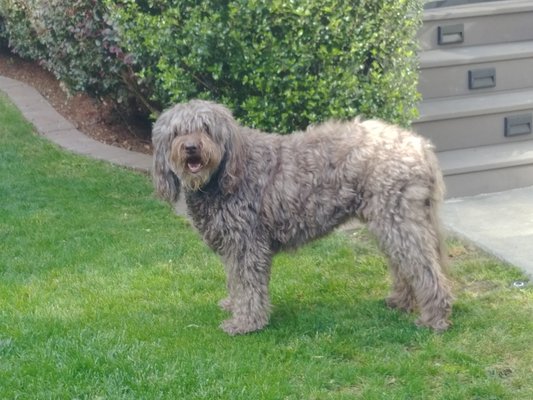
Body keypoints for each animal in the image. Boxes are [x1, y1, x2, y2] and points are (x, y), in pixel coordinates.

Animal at [152, 99, 450, 334]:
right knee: (405, 266)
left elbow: (248, 285)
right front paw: (234, 306)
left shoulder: (248, 245)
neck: (225, 175)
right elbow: (235, 280)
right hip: (390, 224)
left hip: (399, 222)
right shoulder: (232, 246)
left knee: (425, 268)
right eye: (178, 131)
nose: (191, 147)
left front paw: (246, 322)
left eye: (206, 128)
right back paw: (402, 301)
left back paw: (435, 317)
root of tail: (420, 145)